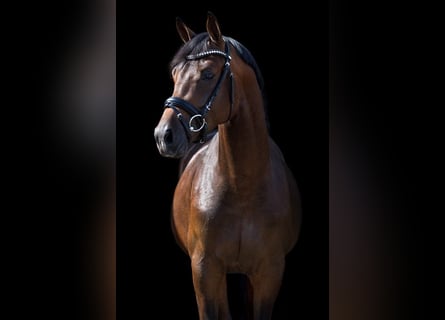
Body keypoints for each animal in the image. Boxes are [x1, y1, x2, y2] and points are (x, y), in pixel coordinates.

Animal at [153, 11, 302, 318]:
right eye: (175, 75)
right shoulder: (205, 270)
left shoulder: (269, 273)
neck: (243, 187)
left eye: (208, 74)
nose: (163, 135)